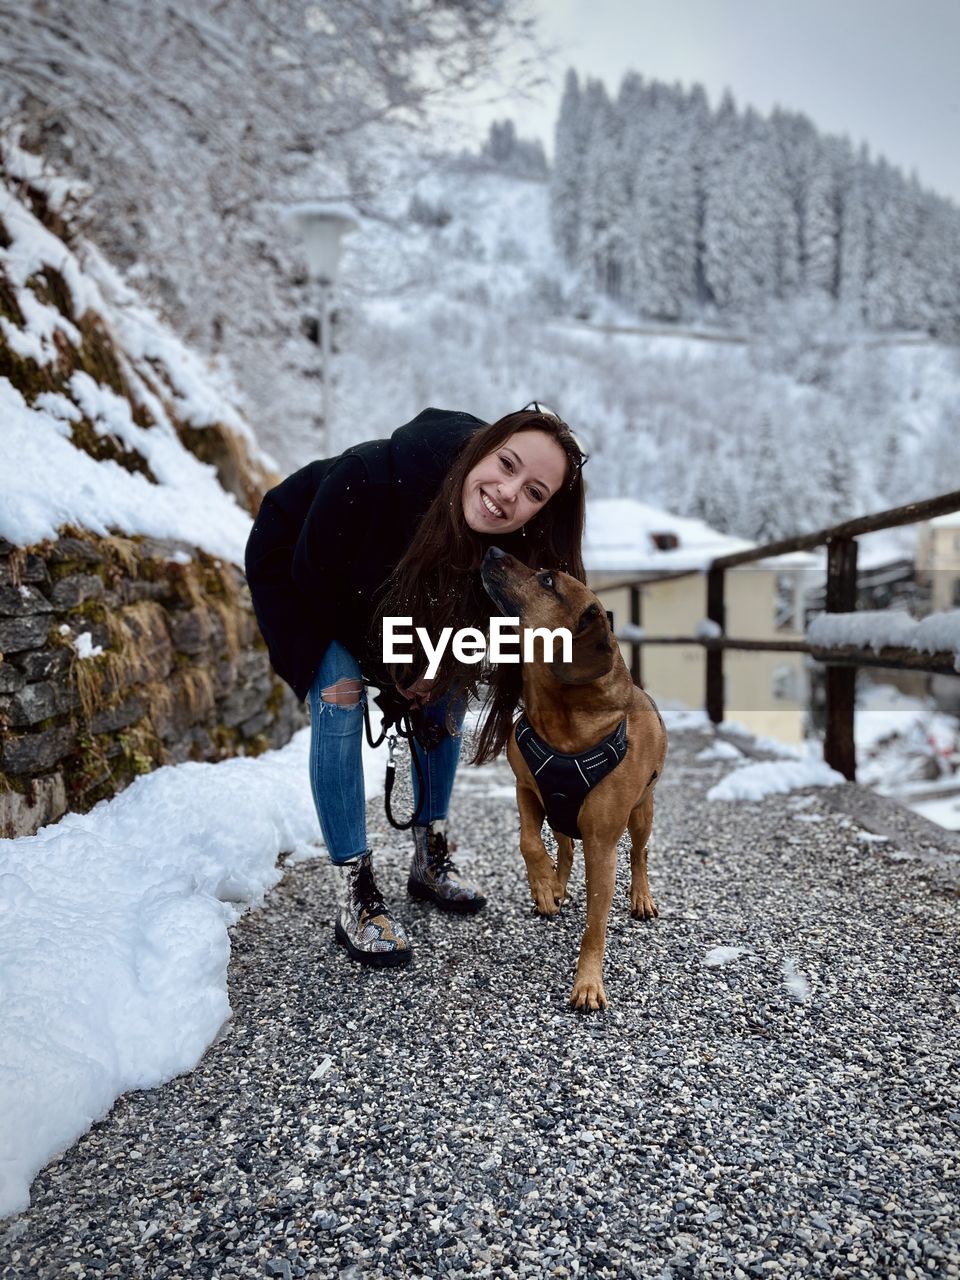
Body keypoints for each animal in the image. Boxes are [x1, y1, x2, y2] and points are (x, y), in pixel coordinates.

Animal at [481, 545, 670, 1013]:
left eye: (548, 580)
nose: (492, 548)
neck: (561, 722)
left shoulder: (602, 844)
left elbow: (595, 923)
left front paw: (587, 982)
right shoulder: (526, 790)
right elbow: (529, 843)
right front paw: (545, 886)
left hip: (642, 812)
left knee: (639, 853)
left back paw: (641, 897)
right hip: (559, 813)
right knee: (563, 847)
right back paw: (557, 884)